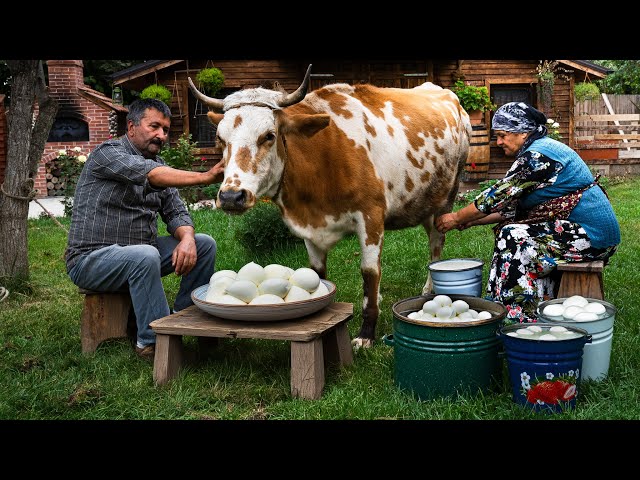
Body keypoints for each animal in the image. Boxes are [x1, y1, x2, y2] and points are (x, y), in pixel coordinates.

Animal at [188, 63, 472, 348]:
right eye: (220, 138)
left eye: (269, 136)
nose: (231, 196)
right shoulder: (309, 228)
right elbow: (318, 273)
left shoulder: (371, 217)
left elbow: (370, 271)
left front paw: (366, 333)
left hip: (445, 199)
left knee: (436, 244)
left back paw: (429, 288)